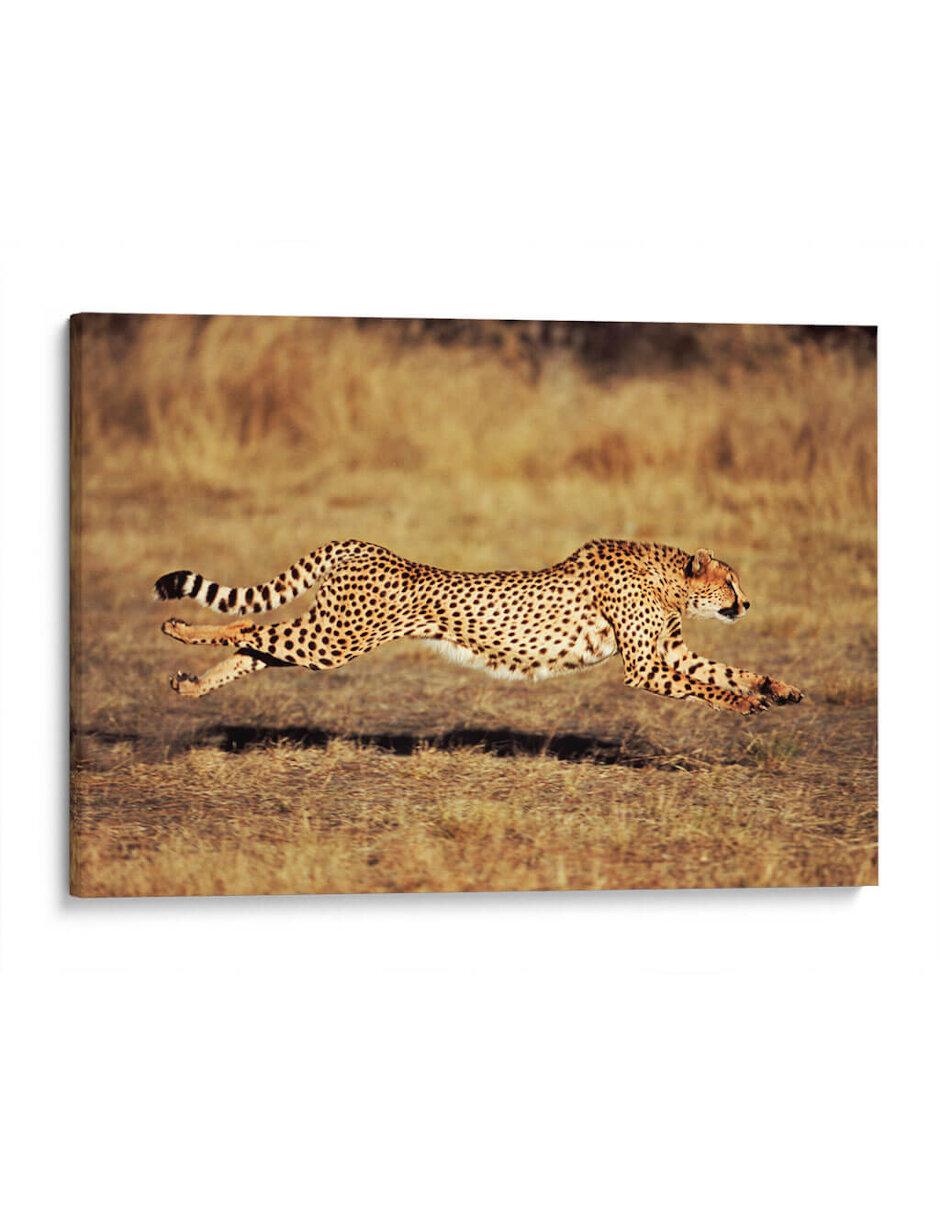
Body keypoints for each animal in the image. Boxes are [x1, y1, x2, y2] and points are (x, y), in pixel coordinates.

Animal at [155, 538, 803, 715]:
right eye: (730, 583)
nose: (747, 604)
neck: (667, 577)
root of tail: (360, 545)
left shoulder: (669, 653)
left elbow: (725, 670)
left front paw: (778, 688)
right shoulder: (644, 667)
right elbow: (705, 685)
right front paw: (743, 703)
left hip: (327, 637)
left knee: (255, 647)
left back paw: (189, 684)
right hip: (336, 639)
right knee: (245, 625)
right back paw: (179, 629)